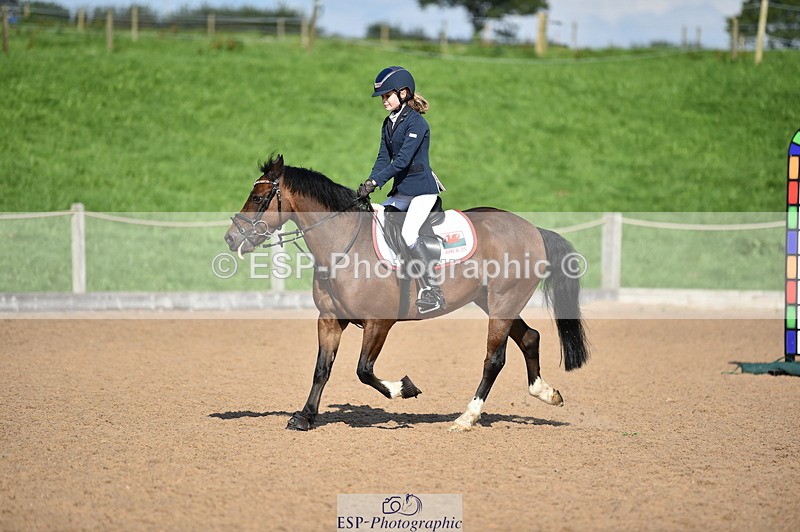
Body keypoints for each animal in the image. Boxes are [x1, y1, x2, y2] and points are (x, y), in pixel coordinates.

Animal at [224, 154, 589, 432]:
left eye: (258, 198)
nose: (231, 238)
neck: (344, 246)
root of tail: (532, 229)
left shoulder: (379, 322)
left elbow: (364, 370)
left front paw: (406, 388)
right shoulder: (329, 319)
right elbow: (321, 370)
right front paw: (305, 417)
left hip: (503, 301)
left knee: (494, 359)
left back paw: (466, 418)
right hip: (492, 301)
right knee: (529, 337)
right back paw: (546, 393)